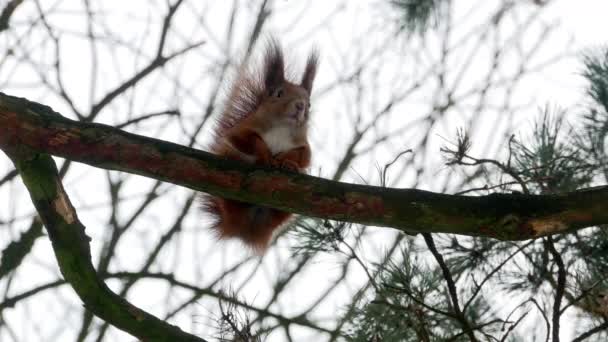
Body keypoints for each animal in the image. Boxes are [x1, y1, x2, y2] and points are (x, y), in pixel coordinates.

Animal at [203, 39, 318, 251]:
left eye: (309, 103)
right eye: (278, 94)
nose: (300, 106)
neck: (283, 126)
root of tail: (244, 229)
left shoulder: (303, 144)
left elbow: (303, 157)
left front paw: (287, 162)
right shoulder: (243, 130)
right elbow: (249, 140)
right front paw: (266, 156)